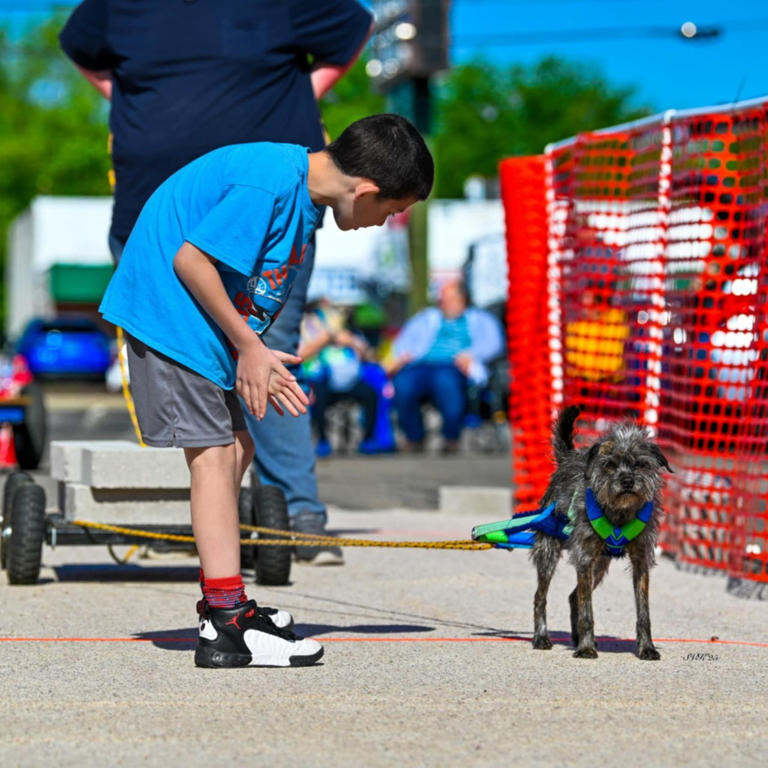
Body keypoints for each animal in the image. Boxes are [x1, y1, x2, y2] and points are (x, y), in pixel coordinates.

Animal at [531, 405, 672, 660]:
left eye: (640, 464)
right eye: (610, 465)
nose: (627, 481)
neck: (619, 512)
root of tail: (567, 460)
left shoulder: (640, 560)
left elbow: (643, 612)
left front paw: (647, 647)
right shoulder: (585, 557)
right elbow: (587, 611)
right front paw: (586, 648)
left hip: (599, 565)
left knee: (573, 596)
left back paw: (576, 637)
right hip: (549, 551)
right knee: (541, 596)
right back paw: (542, 637)